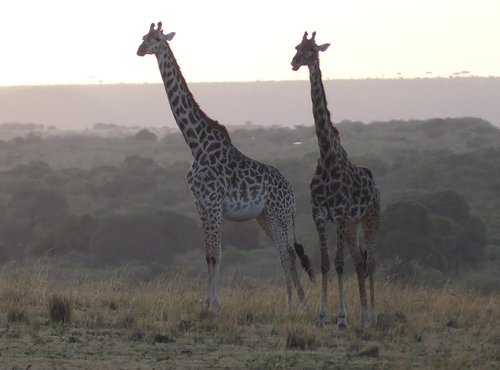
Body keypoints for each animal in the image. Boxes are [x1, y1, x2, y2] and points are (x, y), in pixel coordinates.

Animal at [290, 31, 378, 326]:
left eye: (312, 49)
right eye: (297, 47)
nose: (294, 62)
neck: (327, 156)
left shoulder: (338, 214)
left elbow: (339, 265)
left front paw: (341, 317)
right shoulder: (319, 213)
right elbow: (327, 263)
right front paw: (321, 316)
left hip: (370, 218)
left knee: (371, 261)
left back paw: (372, 315)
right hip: (351, 226)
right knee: (360, 262)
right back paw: (363, 315)